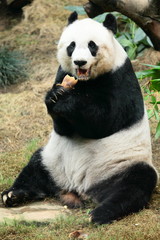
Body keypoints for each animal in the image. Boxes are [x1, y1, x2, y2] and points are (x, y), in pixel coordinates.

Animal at [1, 11, 158, 225]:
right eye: (71, 46)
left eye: (92, 45)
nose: (80, 62)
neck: (85, 81)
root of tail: (78, 188)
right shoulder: (61, 72)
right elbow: (62, 127)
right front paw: (54, 96)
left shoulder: (119, 78)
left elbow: (105, 121)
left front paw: (67, 100)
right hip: (52, 160)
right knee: (34, 169)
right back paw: (13, 195)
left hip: (122, 163)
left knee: (135, 184)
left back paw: (100, 213)